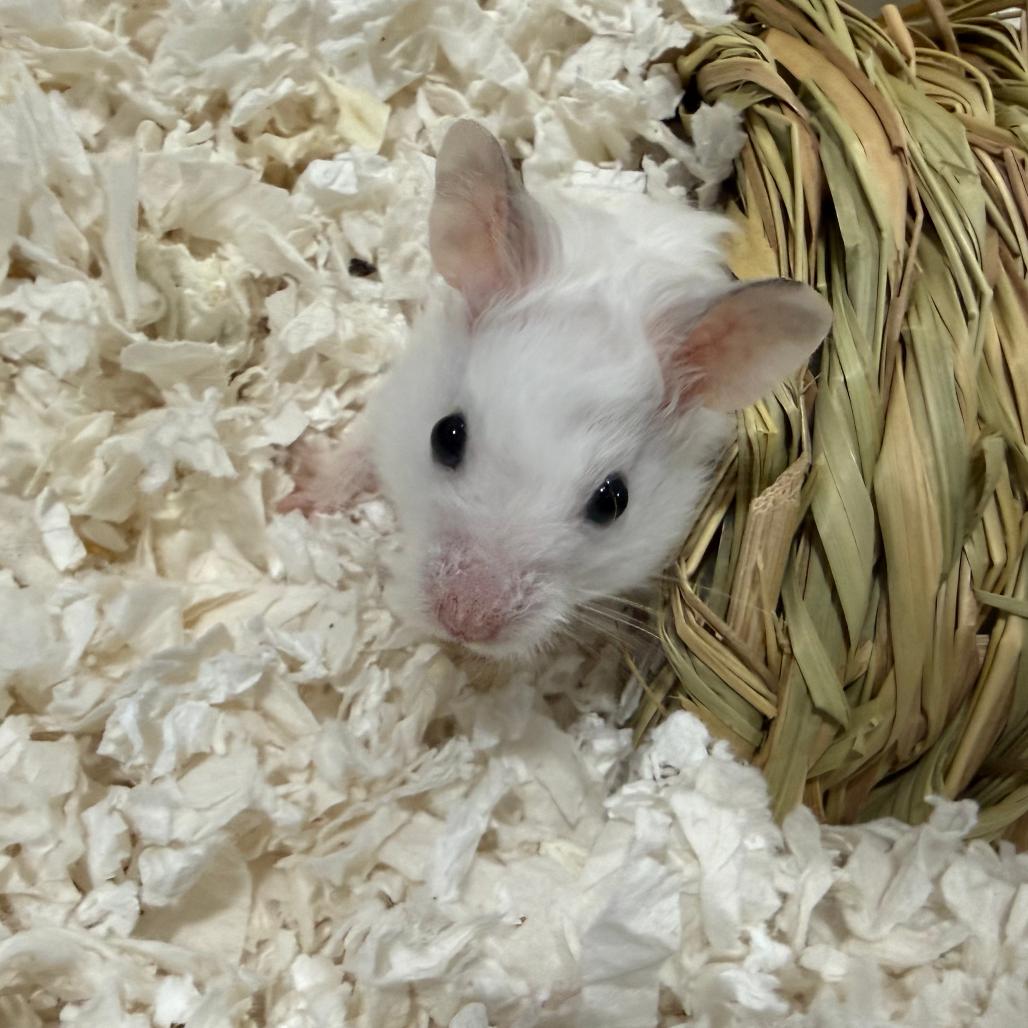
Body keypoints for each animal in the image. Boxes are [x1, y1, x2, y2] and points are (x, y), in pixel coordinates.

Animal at [280, 120, 832, 660]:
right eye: (445, 436)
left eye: (613, 501)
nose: (466, 624)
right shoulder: (399, 395)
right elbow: (353, 454)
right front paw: (296, 494)